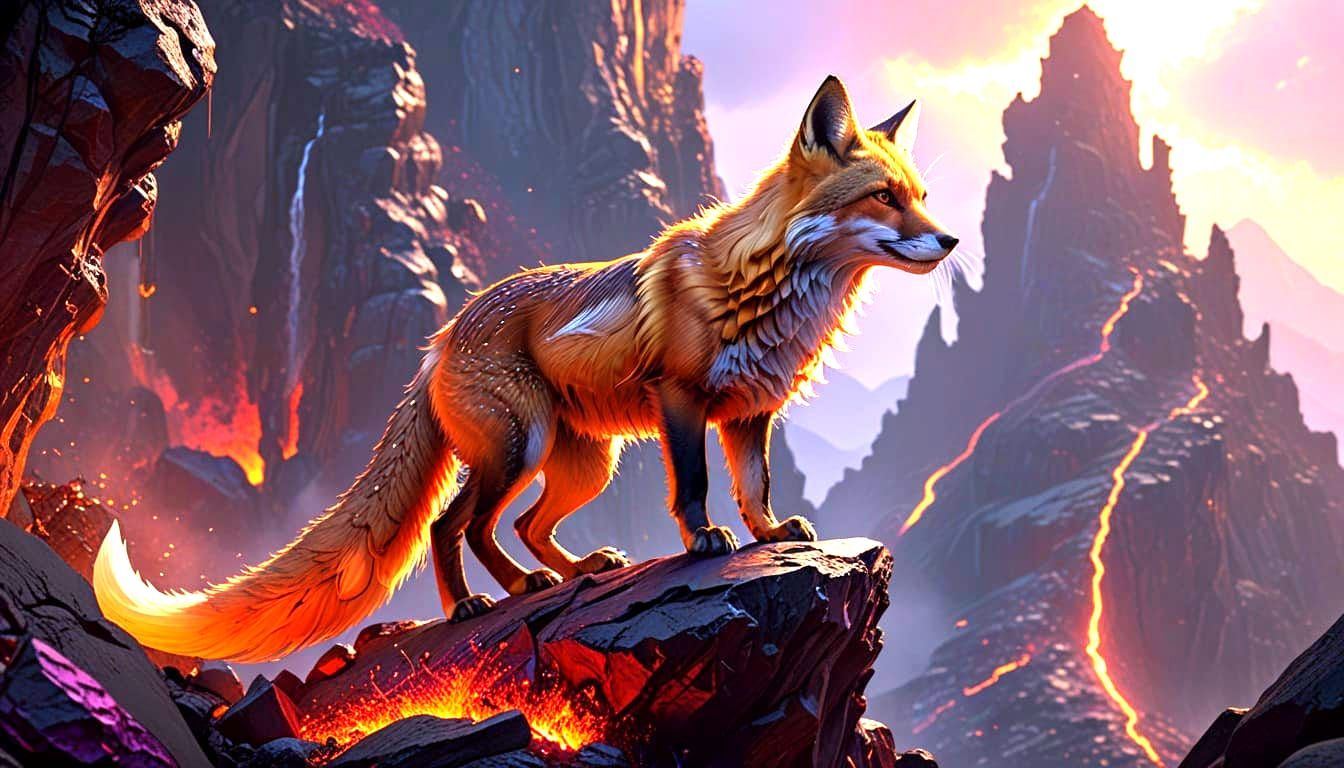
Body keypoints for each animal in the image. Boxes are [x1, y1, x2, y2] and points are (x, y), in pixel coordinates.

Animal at [93, 76, 960, 663]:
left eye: (920, 194)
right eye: (884, 197)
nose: (950, 241)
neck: (768, 288)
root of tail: (443, 334)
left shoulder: (750, 411)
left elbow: (757, 487)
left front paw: (772, 535)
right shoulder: (682, 399)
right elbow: (696, 487)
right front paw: (707, 542)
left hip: (583, 463)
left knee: (520, 527)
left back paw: (566, 574)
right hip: (520, 446)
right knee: (454, 525)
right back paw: (480, 604)